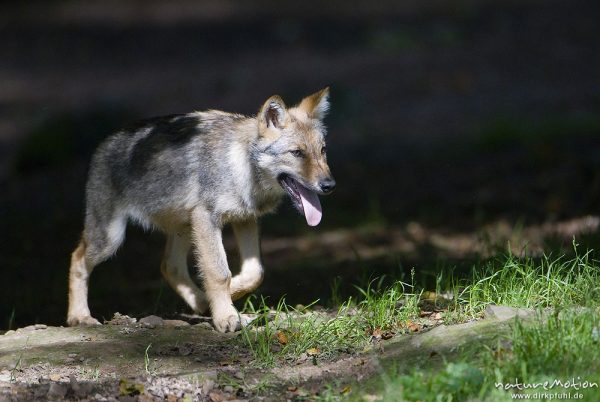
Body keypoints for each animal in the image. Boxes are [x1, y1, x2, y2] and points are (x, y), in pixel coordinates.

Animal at [69, 88, 338, 332]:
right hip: (111, 239)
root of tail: (104, 142)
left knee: (169, 266)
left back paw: (201, 302)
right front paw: (227, 317)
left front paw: (229, 297)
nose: (329, 185)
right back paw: (79, 317)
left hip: (184, 229)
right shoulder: (208, 219)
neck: (240, 166)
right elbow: (219, 272)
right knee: (77, 258)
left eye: (323, 150)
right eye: (297, 153)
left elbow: (254, 273)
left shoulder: (245, 220)